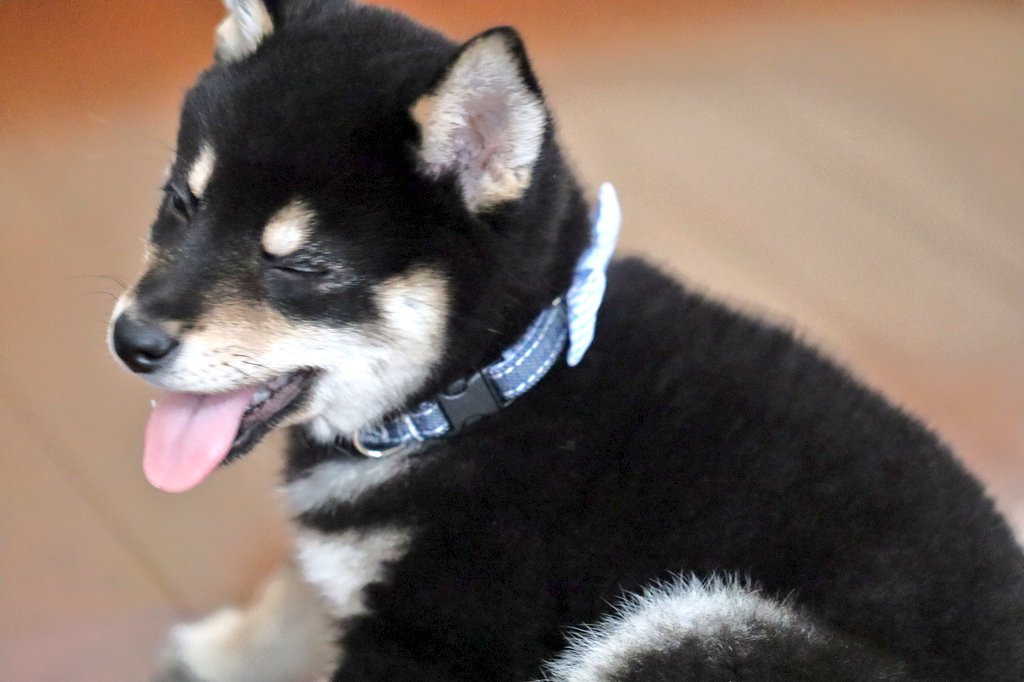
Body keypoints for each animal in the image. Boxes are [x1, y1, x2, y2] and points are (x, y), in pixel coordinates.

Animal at [108, 1, 1024, 680]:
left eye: (303, 264)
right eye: (182, 206)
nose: (131, 339)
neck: (493, 386)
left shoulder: (437, 630)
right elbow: (296, 583)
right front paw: (228, 650)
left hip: (688, 623)